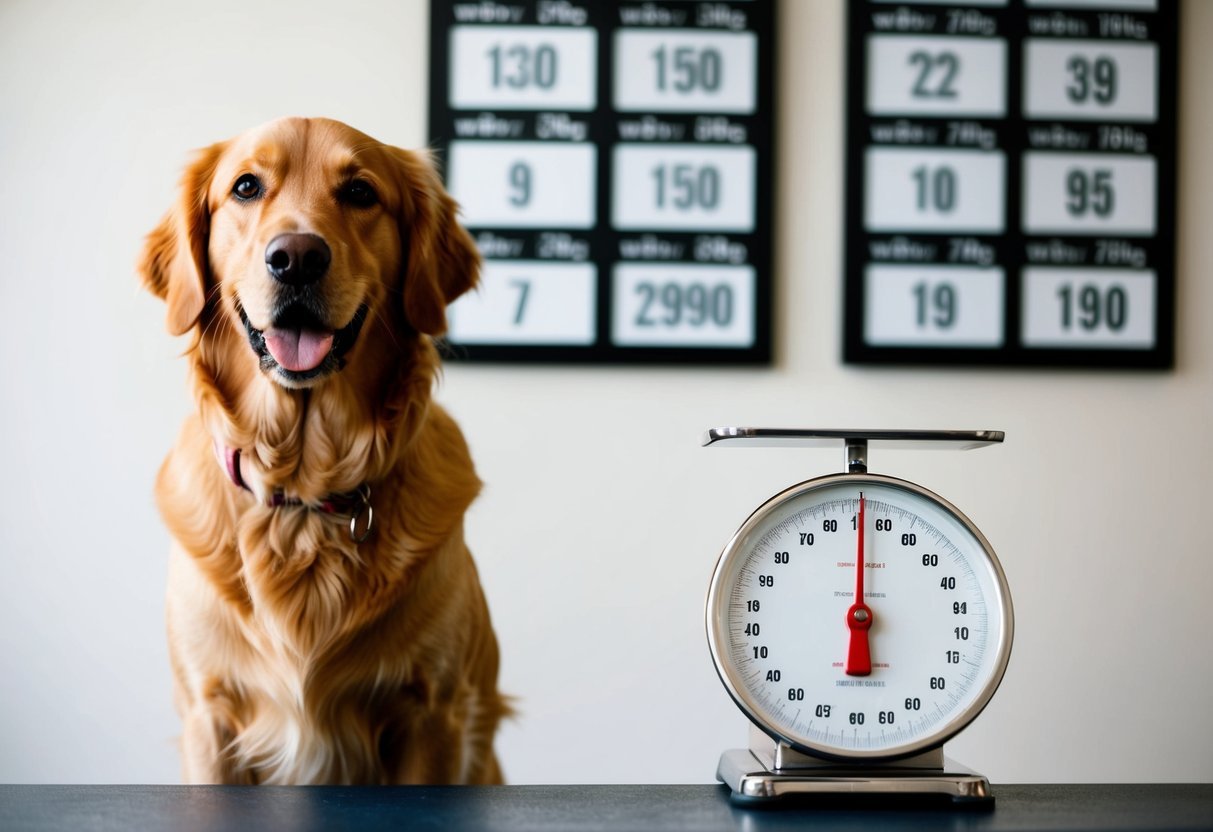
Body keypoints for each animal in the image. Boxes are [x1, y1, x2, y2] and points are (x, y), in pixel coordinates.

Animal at [139, 118, 509, 790]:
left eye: (361, 192)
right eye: (246, 187)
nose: (296, 257)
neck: (302, 492)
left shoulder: (433, 714)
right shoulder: (208, 715)